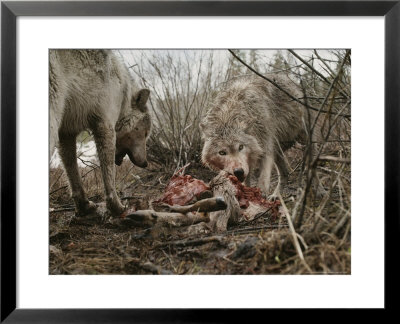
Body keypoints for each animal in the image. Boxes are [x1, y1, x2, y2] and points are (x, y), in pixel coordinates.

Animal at [50, 49, 150, 216]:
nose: (146, 163)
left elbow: (73, 174)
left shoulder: (66, 133)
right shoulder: (105, 125)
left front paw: (84, 206)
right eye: (145, 133)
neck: (123, 92)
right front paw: (116, 207)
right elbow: (109, 175)